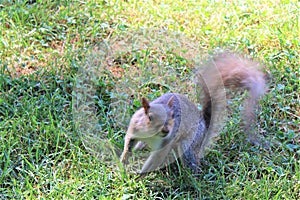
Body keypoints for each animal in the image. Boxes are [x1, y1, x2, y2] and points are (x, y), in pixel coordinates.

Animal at [119, 52, 268, 175]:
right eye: (150, 117)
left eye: (172, 117)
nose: (166, 130)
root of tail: (204, 128)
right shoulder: (135, 126)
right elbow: (129, 141)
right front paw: (124, 159)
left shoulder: (164, 143)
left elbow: (155, 158)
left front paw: (139, 175)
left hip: (189, 144)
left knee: (192, 162)